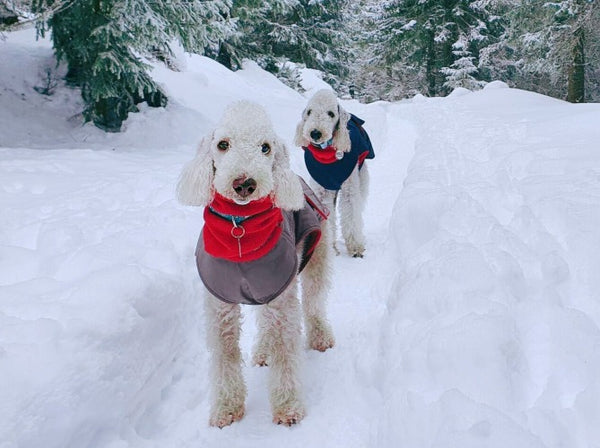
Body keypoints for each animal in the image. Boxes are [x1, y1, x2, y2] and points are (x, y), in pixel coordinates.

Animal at [178, 100, 338, 428]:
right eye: (222, 145)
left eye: (265, 147)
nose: (244, 184)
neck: (241, 230)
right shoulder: (221, 304)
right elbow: (225, 354)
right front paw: (226, 409)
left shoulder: (281, 295)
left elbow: (286, 351)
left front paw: (288, 408)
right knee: (267, 323)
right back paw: (264, 351)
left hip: (313, 259)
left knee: (314, 302)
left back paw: (319, 337)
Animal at [292, 89, 372, 258]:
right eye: (309, 112)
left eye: (331, 113)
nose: (315, 133)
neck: (327, 153)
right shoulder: (322, 189)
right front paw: (329, 248)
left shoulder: (349, 186)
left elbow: (351, 210)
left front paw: (356, 247)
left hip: (361, 176)